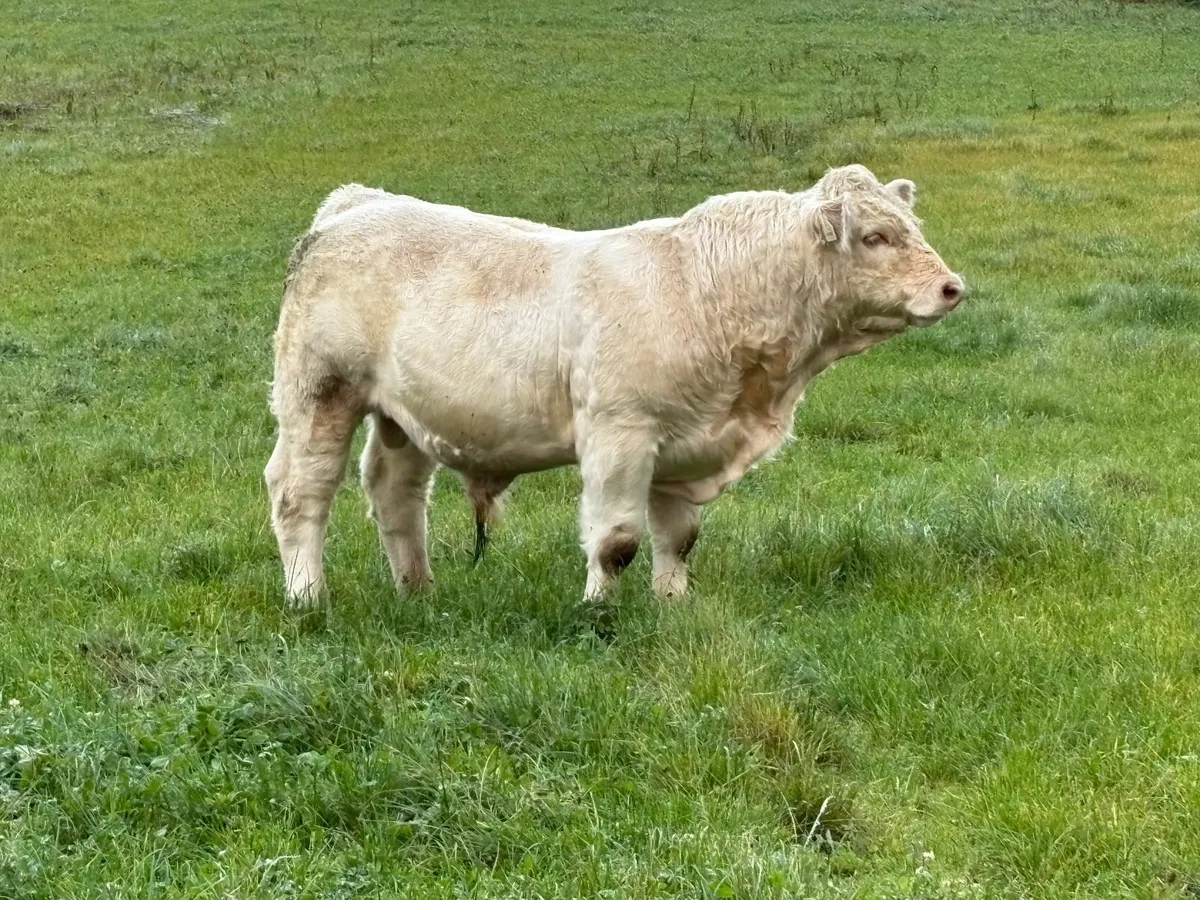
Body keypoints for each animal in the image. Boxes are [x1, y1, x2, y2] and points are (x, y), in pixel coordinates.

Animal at [265, 164, 965, 608]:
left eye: (915, 227)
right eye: (875, 236)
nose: (952, 287)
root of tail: (358, 203)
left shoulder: (684, 444)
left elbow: (678, 539)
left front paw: (672, 605)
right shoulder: (619, 431)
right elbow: (616, 541)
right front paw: (598, 610)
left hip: (404, 414)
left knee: (395, 493)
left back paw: (417, 590)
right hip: (319, 391)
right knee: (300, 493)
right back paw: (308, 597)